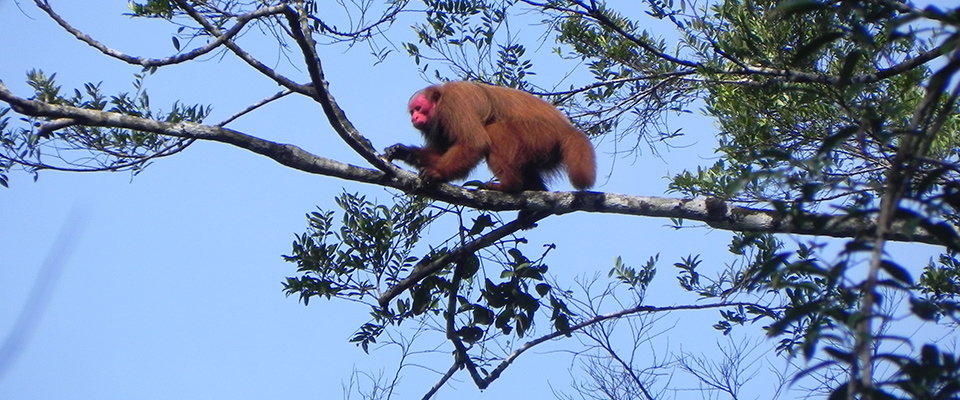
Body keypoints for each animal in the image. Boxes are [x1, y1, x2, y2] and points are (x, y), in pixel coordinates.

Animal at [380, 80, 592, 193]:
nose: (414, 117)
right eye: (413, 111)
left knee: (495, 131)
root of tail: (567, 129)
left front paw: (438, 173)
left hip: (541, 136)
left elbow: (474, 143)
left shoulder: (455, 102)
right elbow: (441, 153)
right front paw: (401, 151)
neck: (439, 106)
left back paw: (510, 185)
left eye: (419, 109)